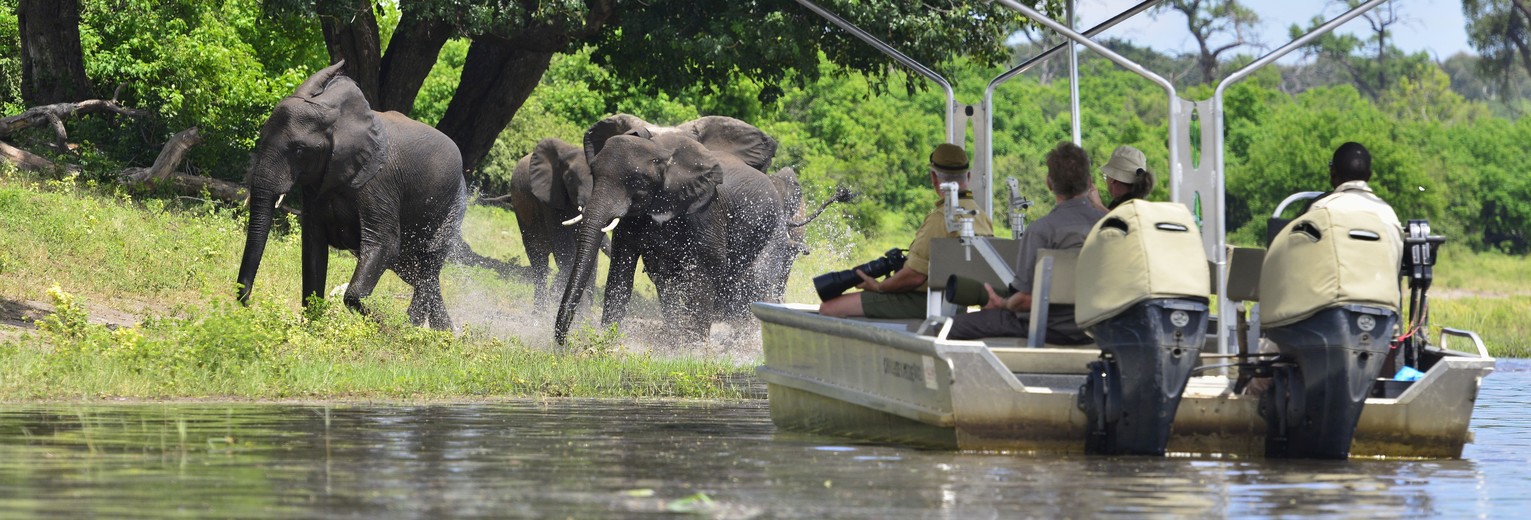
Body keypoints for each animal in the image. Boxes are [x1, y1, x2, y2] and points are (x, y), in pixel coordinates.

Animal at [234, 60, 465, 328]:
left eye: (300, 150)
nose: (248, 304)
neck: (336, 117)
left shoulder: (379, 184)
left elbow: (385, 244)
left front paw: (383, 327)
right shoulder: (315, 186)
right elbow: (313, 246)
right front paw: (314, 327)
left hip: (453, 206)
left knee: (428, 264)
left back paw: (413, 328)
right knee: (418, 273)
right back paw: (446, 333)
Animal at [554, 114, 789, 345]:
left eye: (638, 181)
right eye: (593, 172)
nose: (562, 345)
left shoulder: (706, 211)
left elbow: (705, 272)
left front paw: (694, 348)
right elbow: (622, 272)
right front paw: (608, 341)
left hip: (774, 229)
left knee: (757, 281)